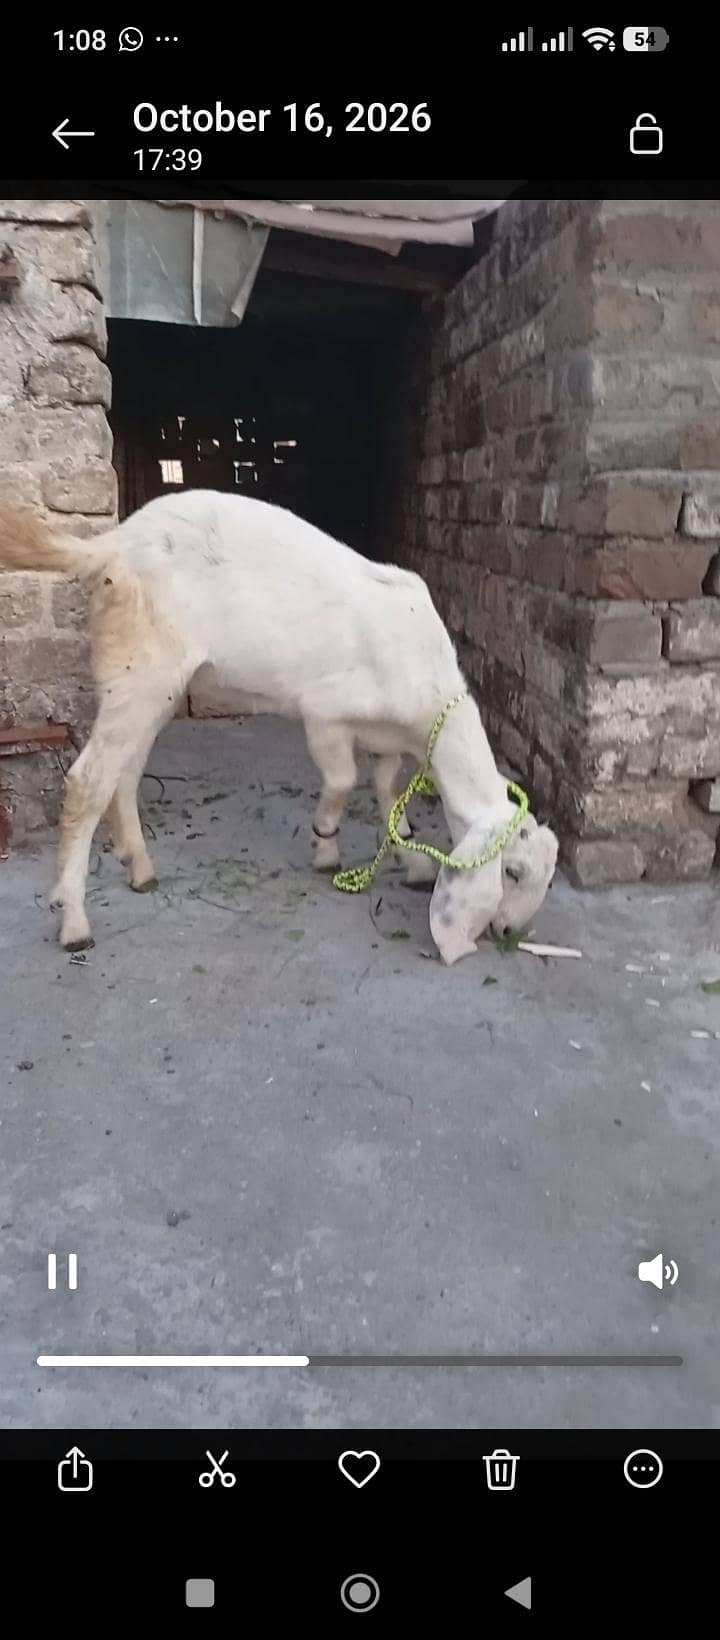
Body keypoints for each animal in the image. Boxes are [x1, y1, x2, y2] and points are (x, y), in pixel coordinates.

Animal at [0, 491, 558, 962]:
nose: (508, 932)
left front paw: (413, 861)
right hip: (138, 666)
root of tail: (110, 546)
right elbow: (342, 781)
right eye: (512, 871)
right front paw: (326, 848)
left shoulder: (387, 740)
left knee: (126, 774)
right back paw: (74, 921)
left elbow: (387, 795)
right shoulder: (325, 714)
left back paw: (140, 870)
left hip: (151, 687)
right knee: (88, 780)